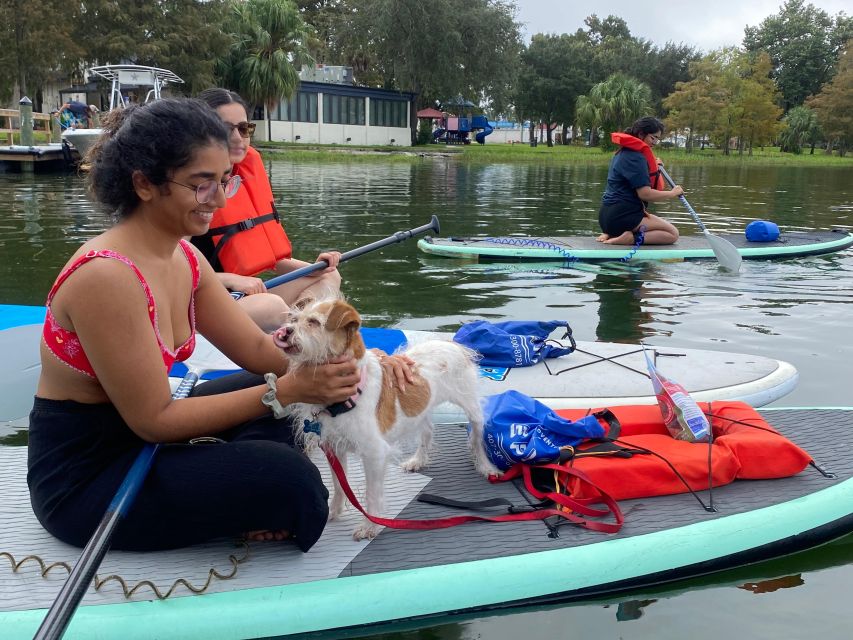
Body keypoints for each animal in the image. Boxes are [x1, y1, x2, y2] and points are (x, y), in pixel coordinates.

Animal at [272, 298, 500, 536]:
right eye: (294, 319)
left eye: (314, 322)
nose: (285, 332)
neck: (346, 396)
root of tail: (451, 344)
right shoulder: (333, 447)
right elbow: (339, 484)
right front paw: (334, 511)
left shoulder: (374, 454)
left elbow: (371, 493)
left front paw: (370, 525)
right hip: (422, 410)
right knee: (427, 431)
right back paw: (417, 460)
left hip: (471, 408)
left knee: (476, 438)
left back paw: (486, 467)